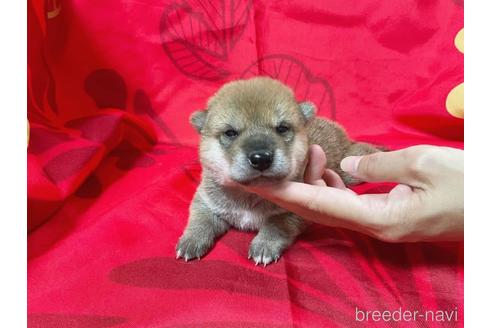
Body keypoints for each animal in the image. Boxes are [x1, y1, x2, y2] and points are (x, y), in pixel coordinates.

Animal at [177, 77, 380, 266]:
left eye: (282, 128)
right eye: (230, 133)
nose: (261, 158)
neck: (249, 196)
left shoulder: (297, 212)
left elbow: (276, 224)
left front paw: (265, 244)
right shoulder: (205, 200)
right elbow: (200, 219)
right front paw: (191, 240)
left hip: (348, 168)